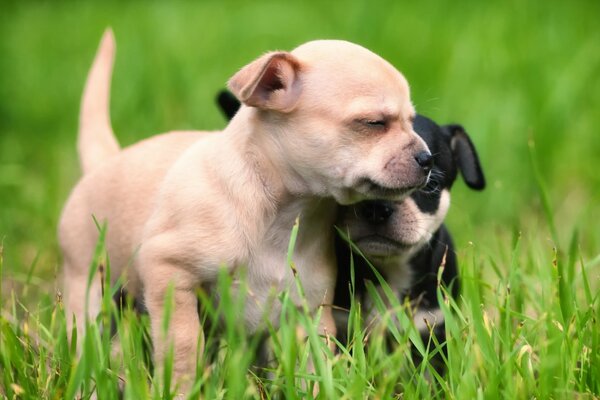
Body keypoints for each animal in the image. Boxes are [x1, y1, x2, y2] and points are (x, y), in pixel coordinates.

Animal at [58, 30, 432, 390]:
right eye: (373, 123)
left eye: (412, 122)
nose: (427, 158)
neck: (283, 213)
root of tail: (106, 161)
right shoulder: (169, 273)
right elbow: (183, 347)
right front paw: (182, 388)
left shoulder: (310, 310)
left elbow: (315, 364)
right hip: (88, 287)